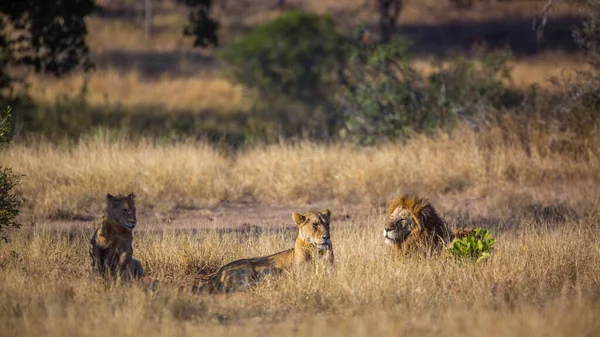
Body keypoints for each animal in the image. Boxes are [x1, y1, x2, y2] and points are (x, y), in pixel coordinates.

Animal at [198, 209, 336, 292]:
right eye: (315, 225)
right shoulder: (302, 275)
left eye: (327, 225)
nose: (327, 237)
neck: (317, 252)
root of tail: (217, 275)